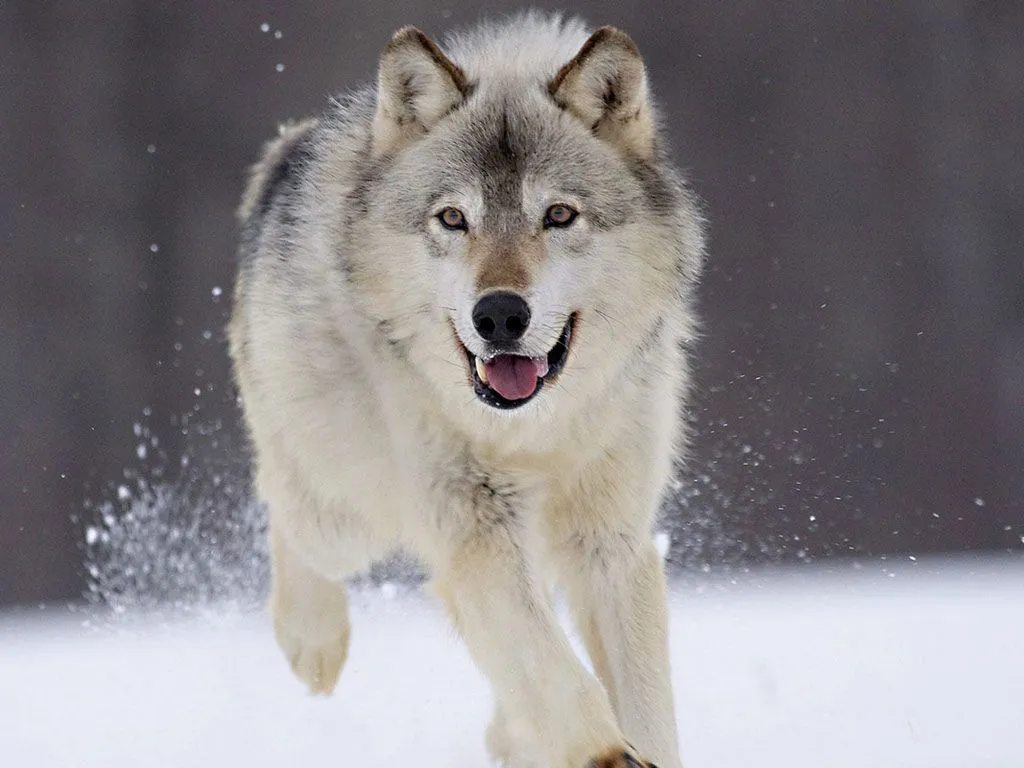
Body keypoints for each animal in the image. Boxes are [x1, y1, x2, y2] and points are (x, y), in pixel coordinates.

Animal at [229, 12, 704, 768]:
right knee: (286, 508)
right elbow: (557, 674)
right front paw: (604, 751)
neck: (533, 431)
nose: (500, 315)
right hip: (346, 511)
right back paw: (314, 645)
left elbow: (640, 698)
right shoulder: (474, 527)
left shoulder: (611, 539)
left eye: (559, 215)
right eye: (453, 219)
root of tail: (288, 150)